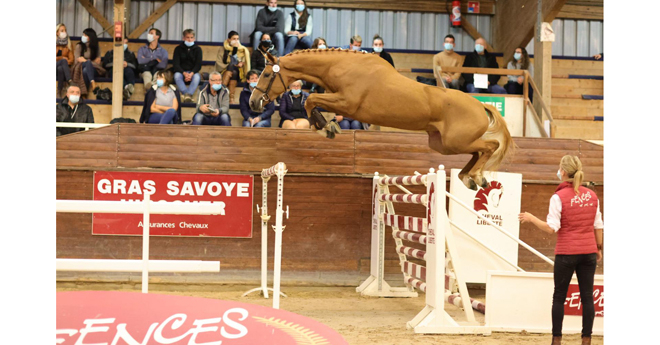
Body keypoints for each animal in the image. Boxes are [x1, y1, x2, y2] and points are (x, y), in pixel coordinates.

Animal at [250, 48, 512, 189]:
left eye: (266, 74)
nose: (253, 103)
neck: (343, 66)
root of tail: (480, 104)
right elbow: (311, 102)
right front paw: (325, 126)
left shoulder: (347, 103)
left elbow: (310, 99)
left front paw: (326, 127)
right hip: (443, 144)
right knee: (478, 151)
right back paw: (468, 177)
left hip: (455, 142)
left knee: (490, 146)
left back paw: (475, 176)